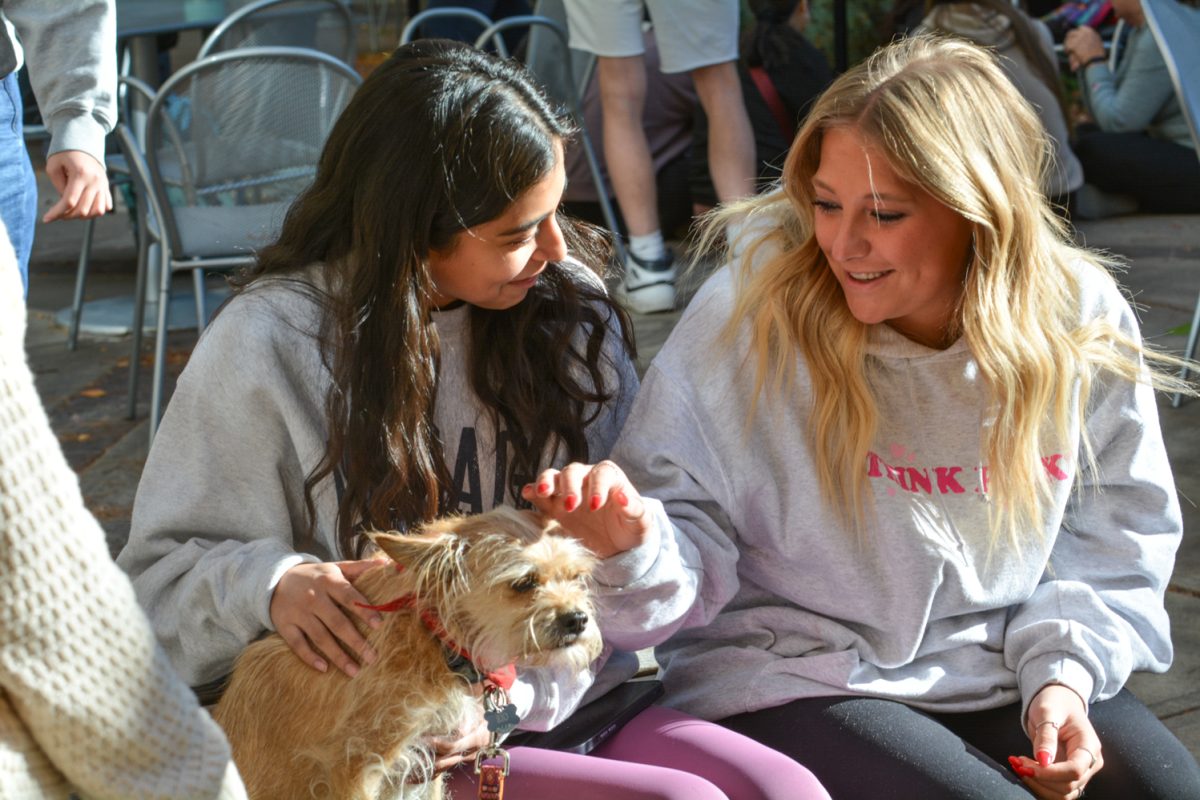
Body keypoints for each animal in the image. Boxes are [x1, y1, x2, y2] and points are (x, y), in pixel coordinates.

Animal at [213, 510, 600, 800]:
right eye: (524, 583)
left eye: (576, 577)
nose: (578, 619)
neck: (434, 638)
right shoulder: (353, 765)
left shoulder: (425, 760)